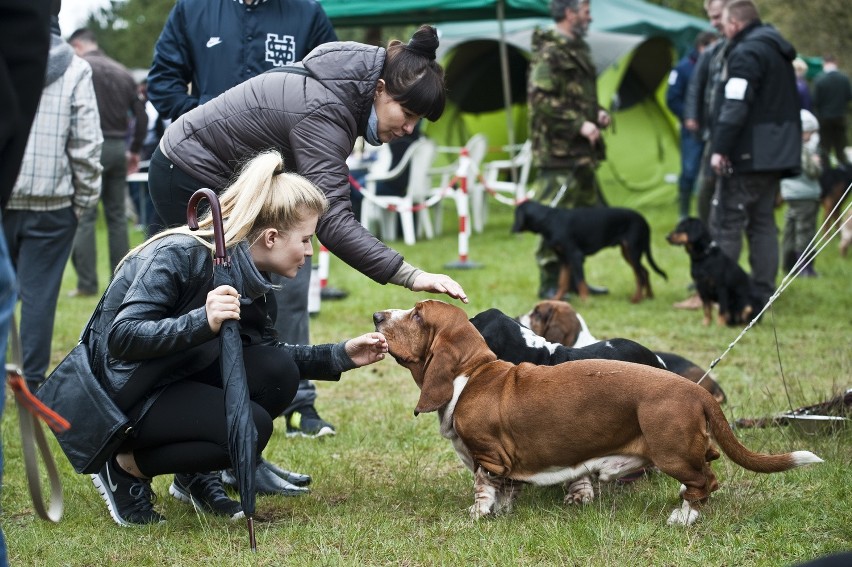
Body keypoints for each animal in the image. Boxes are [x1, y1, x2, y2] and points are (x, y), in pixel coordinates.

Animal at [376, 302, 824, 528]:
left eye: (417, 315)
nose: (378, 316)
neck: (473, 374)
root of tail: (694, 390)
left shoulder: (489, 456)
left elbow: (485, 487)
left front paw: (477, 515)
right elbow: (507, 489)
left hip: (671, 451)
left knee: (705, 482)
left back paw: (682, 516)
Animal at [512, 201, 664, 304]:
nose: (512, 229)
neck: (550, 220)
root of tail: (644, 220)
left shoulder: (575, 256)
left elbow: (580, 282)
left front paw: (586, 301)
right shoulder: (565, 259)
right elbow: (563, 282)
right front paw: (556, 300)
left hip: (632, 250)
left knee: (639, 275)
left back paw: (637, 299)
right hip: (627, 252)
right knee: (644, 271)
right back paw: (649, 296)